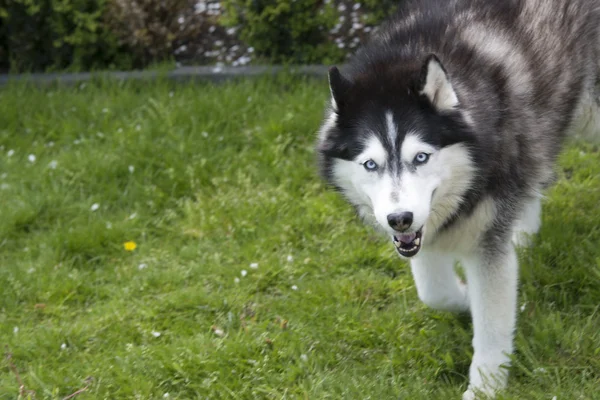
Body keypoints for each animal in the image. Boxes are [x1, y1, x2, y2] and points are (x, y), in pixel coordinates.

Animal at [316, 0, 596, 396]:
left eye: (421, 157)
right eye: (370, 164)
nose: (398, 218)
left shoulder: (484, 244)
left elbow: (491, 322)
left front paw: (485, 388)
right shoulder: (423, 232)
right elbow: (434, 291)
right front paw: (465, 297)